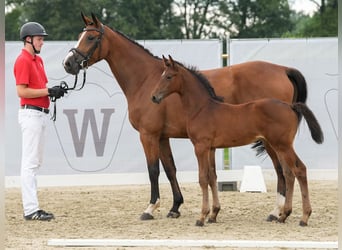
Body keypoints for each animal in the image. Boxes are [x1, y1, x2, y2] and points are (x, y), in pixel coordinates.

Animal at [62, 12, 308, 222]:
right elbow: (170, 169)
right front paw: (175, 207)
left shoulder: (148, 135)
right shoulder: (163, 137)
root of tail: (283, 70)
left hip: (272, 141)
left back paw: (277, 212)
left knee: (283, 171)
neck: (146, 79)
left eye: (91, 36)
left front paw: (150, 208)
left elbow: (153, 170)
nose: (68, 63)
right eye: (80, 35)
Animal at [152, 55, 324, 227]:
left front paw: (201, 217)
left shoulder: (200, 147)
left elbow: (202, 178)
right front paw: (213, 215)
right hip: (280, 146)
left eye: (169, 76)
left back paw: (304, 217)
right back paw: (283, 215)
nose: (154, 97)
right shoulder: (211, 148)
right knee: (288, 173)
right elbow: (212, 177)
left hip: (283, 145)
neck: (202, 108)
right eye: (161, 75)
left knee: (299, 170)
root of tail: (291, 107)